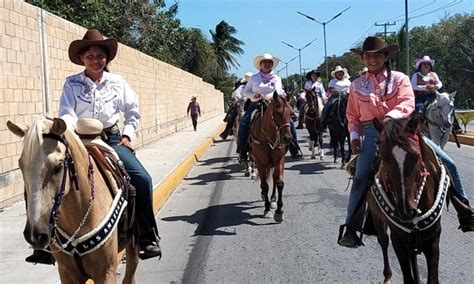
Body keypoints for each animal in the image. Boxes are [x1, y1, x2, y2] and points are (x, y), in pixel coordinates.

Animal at [7, 116, 139, 282]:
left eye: (58, 167)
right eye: (21, 165)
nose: (35, 235)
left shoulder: (106, 271)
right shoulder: (67, 273)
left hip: (133, 245)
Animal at [252, 92, 292, 223]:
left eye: (291, 113)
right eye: (278, 113)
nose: (287, 138)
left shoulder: (279, 160)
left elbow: (279, 183)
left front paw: (279, 211)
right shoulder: (260, 162)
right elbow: (265, 185)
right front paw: (267, 209)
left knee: (274, 179)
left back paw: (273, 200)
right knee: (264, 181)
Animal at [368, 116, 450, 284]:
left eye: (416, 156)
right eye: (384, 157)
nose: (406, 211)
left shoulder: (433, 242)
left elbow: (432, 279)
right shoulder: (399, 242)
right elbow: (408, 278)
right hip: (378, 220)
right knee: (383, 241)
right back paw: (387, 277)